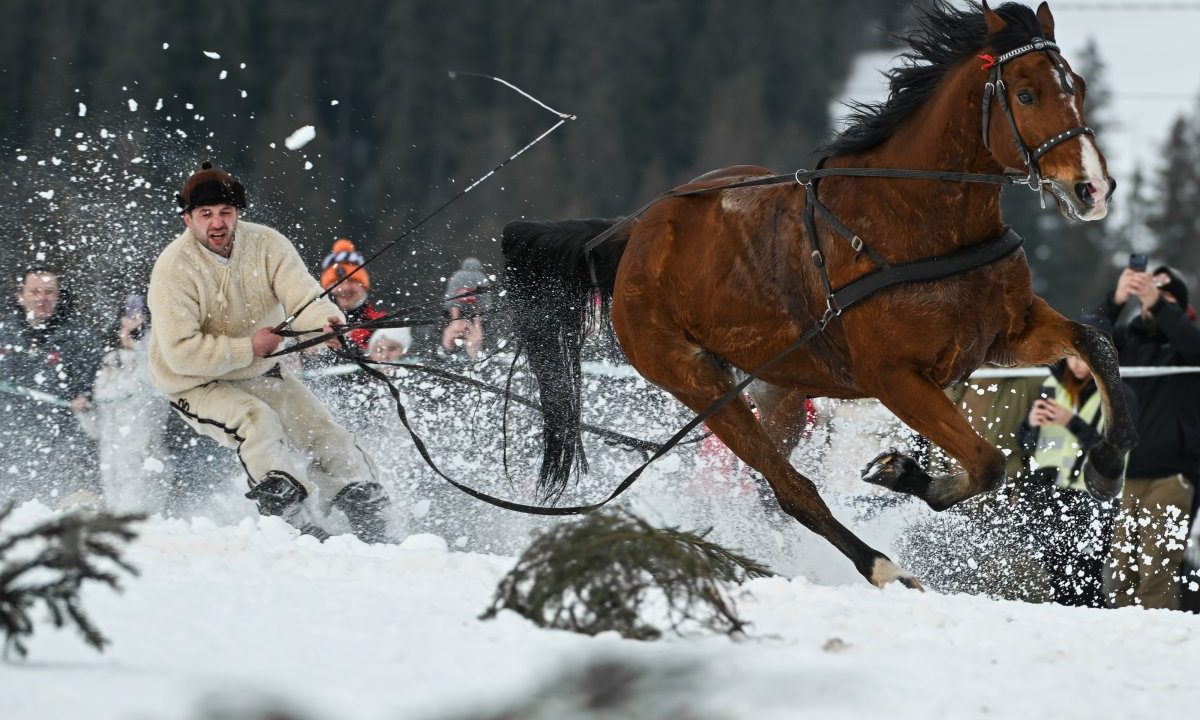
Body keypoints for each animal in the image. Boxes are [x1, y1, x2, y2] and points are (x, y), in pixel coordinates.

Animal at [501, 1, 1137, 589]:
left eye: (1078, 87)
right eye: (1025, 95)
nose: (1093, 189)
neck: (915, 222)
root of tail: (633, 234)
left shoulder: (1005, 333)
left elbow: (1096, 344)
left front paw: (1106, 462)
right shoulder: (893, 377)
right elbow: (986, 464)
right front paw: (905, 475)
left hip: (779, 387)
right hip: (697, 381)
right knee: (790, 489)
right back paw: (880, 566)